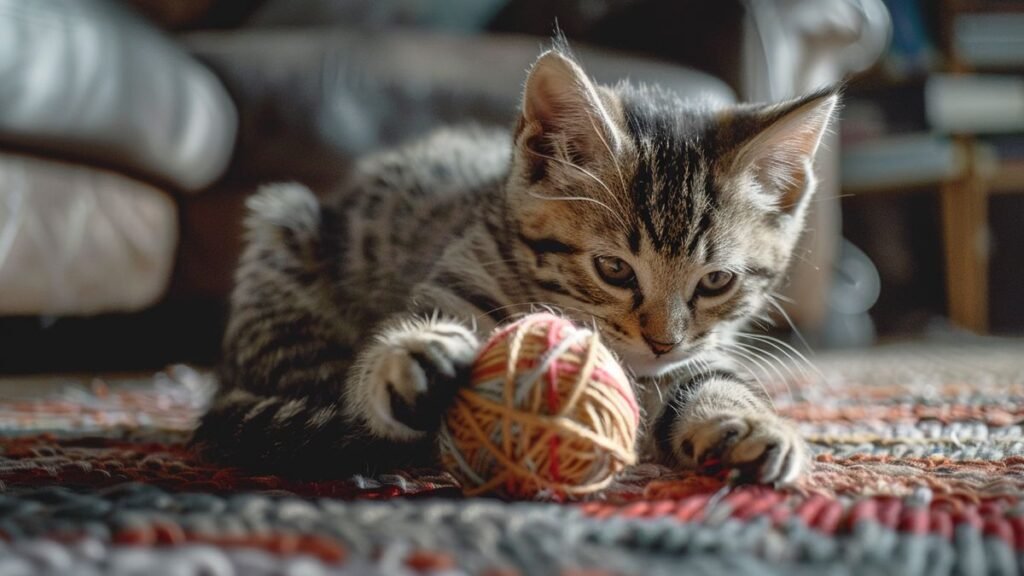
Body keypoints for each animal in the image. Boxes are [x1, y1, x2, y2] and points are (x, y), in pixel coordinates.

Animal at [193, 45, 839, 483]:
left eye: (716, 281)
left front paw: (750, 428)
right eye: (614, 270)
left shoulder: (697, 354)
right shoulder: (450, 284)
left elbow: (714, 379)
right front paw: (409, 359)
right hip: (284, 222)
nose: (661, 343)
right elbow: (371, 366)